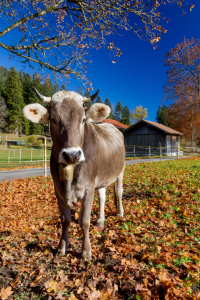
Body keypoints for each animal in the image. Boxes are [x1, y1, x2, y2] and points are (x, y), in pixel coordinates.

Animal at [23, 88, 125, 258]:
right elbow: (65, 219)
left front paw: (86, 251)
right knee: (102, 195)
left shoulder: (88, 186)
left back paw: (120, 213)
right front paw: (62, 247)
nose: (72, 154)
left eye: (83, 120)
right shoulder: (58, 188)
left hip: (120, 170)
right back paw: (100, 220)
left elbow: (84, 220)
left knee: (119, 191)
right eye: (54, 119)